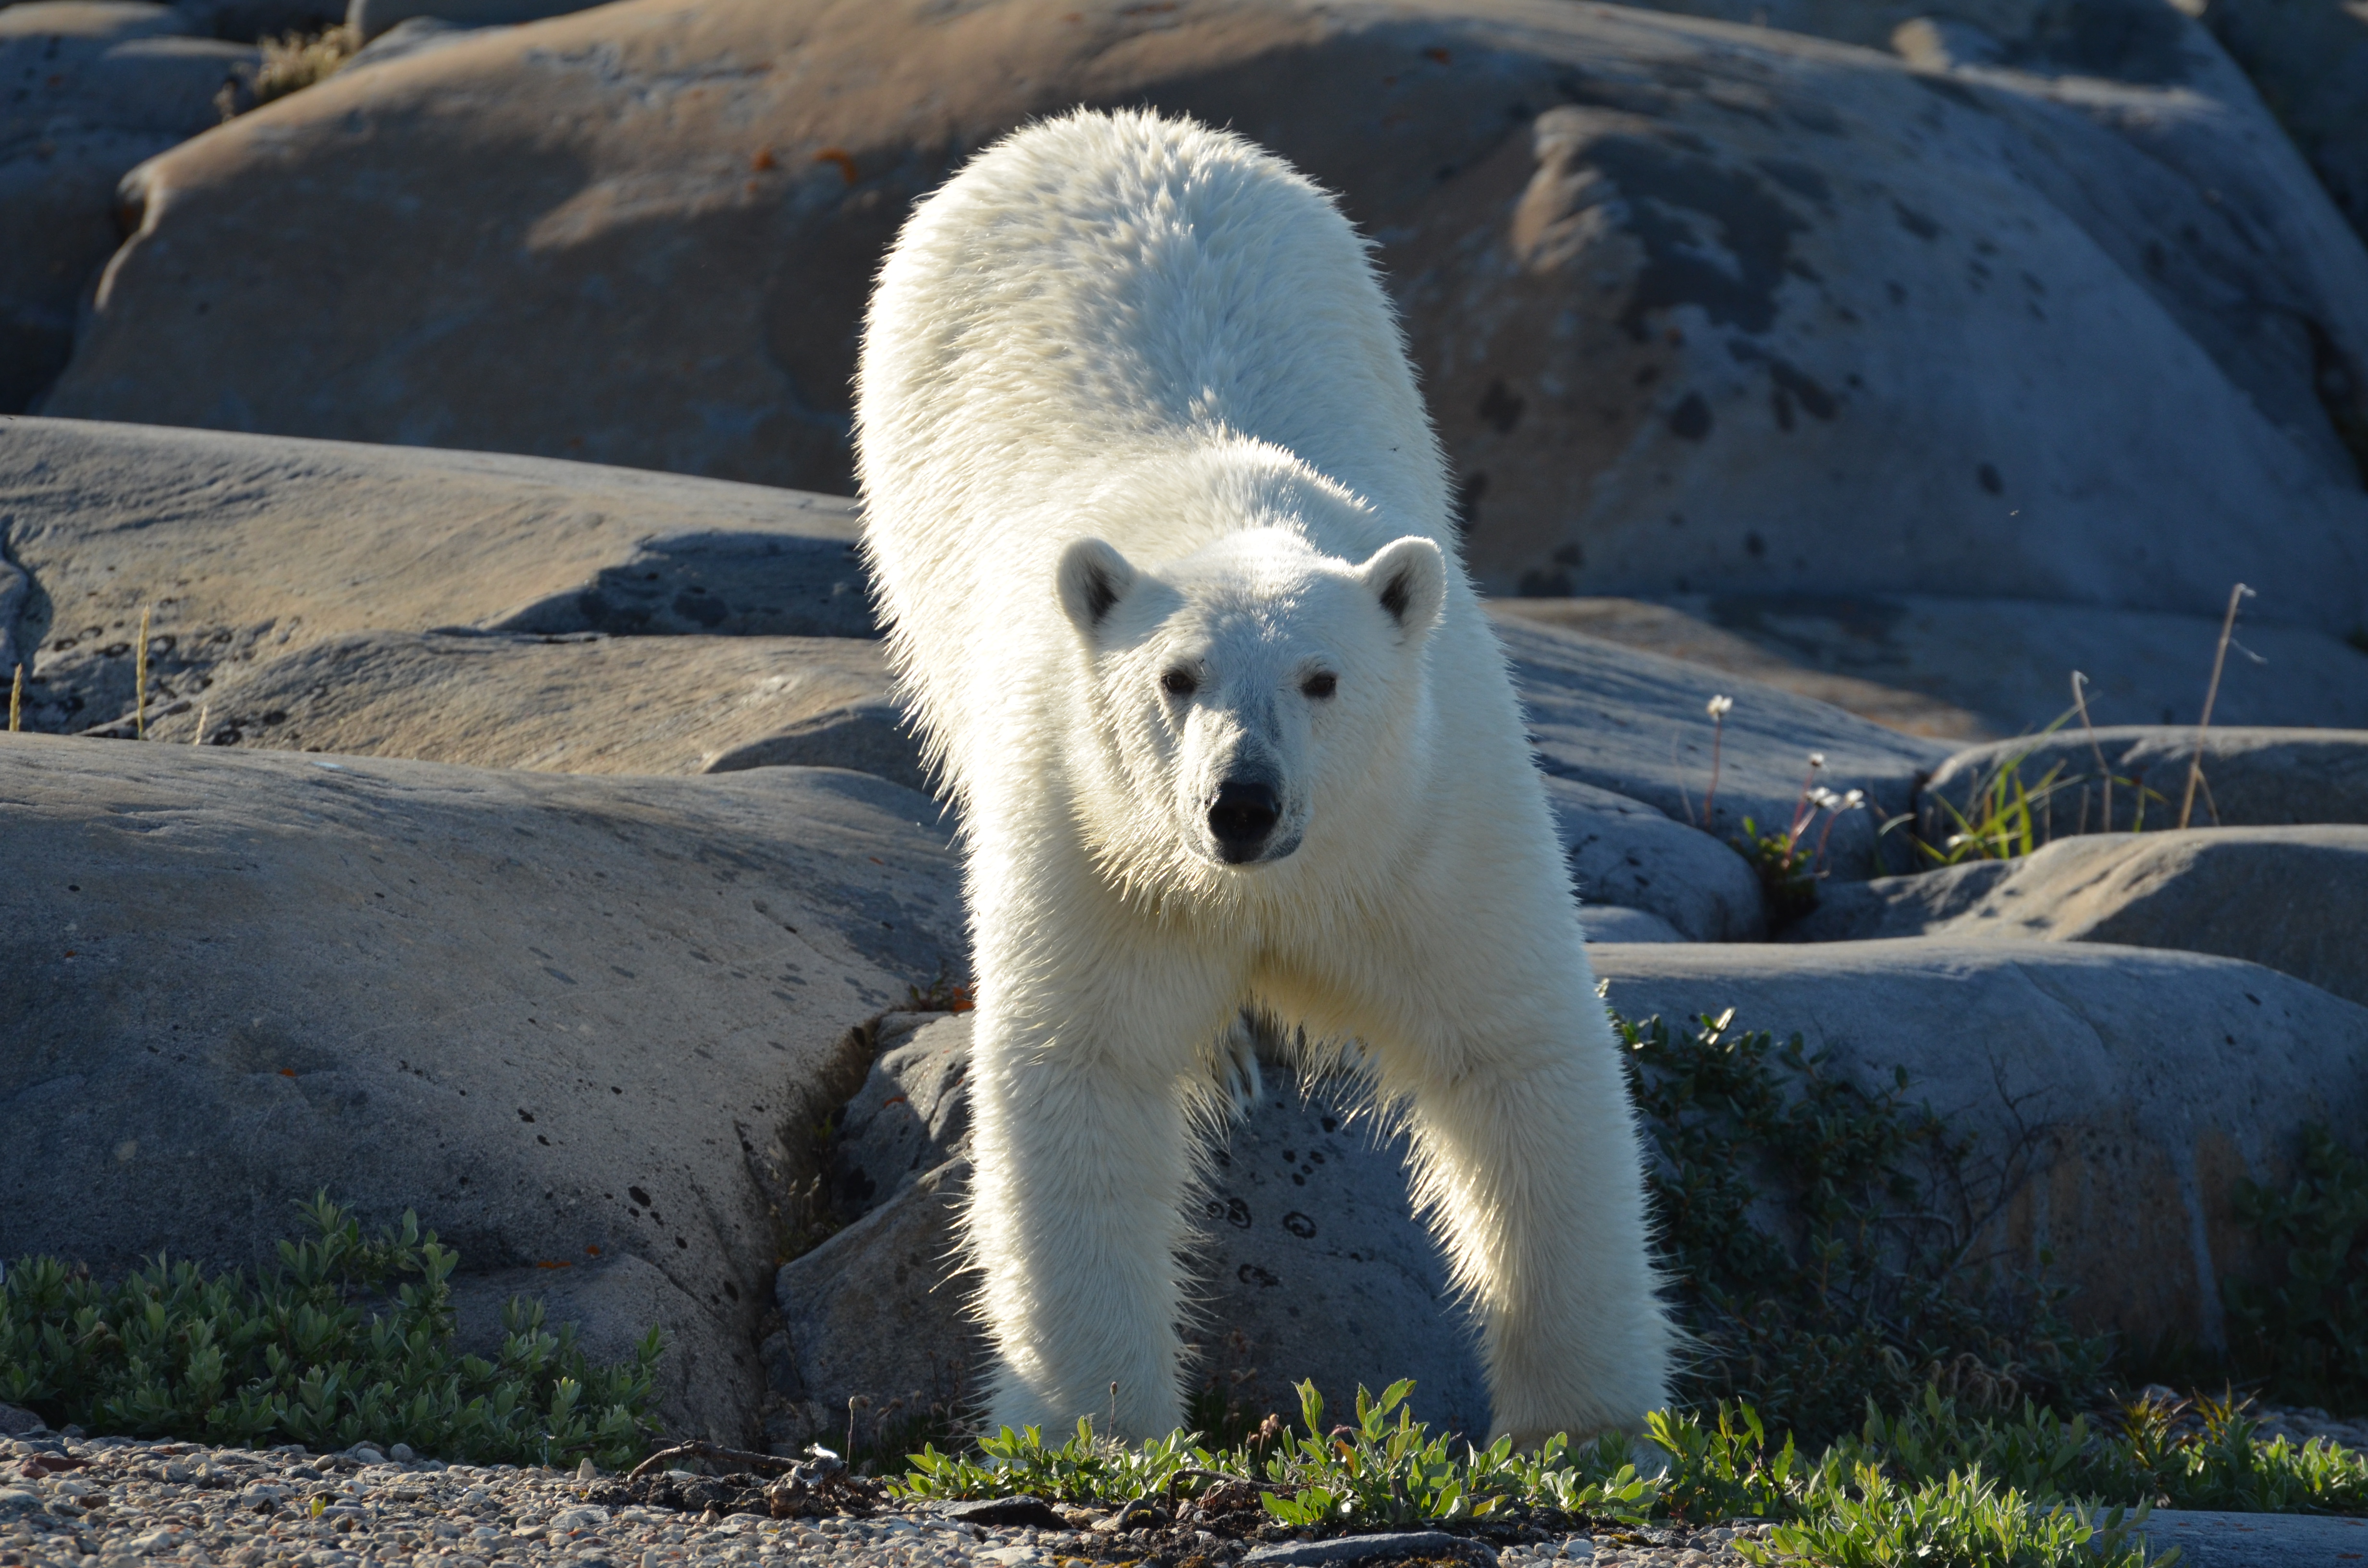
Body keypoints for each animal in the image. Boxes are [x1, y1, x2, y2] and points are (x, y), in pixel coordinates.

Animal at [854, 108, 1672, 1446]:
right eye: (1177, 677)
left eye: (1321, 679)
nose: (1242, 804)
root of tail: (1101, 128)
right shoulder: (1100, 837)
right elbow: (1086, 1068)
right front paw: (1096, 1422)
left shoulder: (1428, 821)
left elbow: (1515, 1052)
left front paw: (1591, 1427)